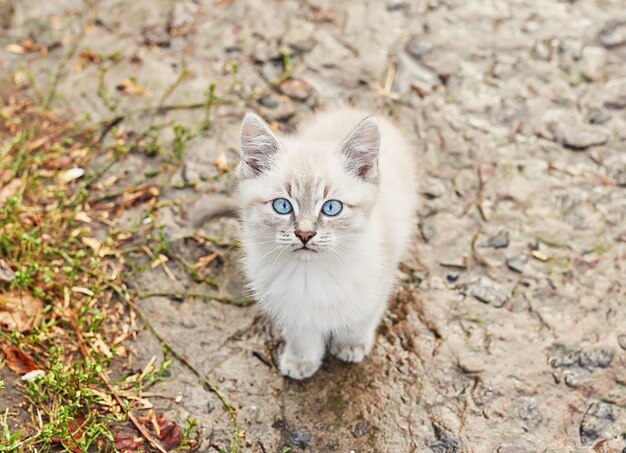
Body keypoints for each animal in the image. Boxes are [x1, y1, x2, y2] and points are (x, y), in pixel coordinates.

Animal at [234, 107, 414, 378]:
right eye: (282, 205)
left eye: (331, 208)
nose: (305, 234)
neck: (310, 275)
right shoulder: (291, 310)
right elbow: (301, 337)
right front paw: (301, 361)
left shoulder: (378, 284)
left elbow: (360, 320)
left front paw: (350, 345)